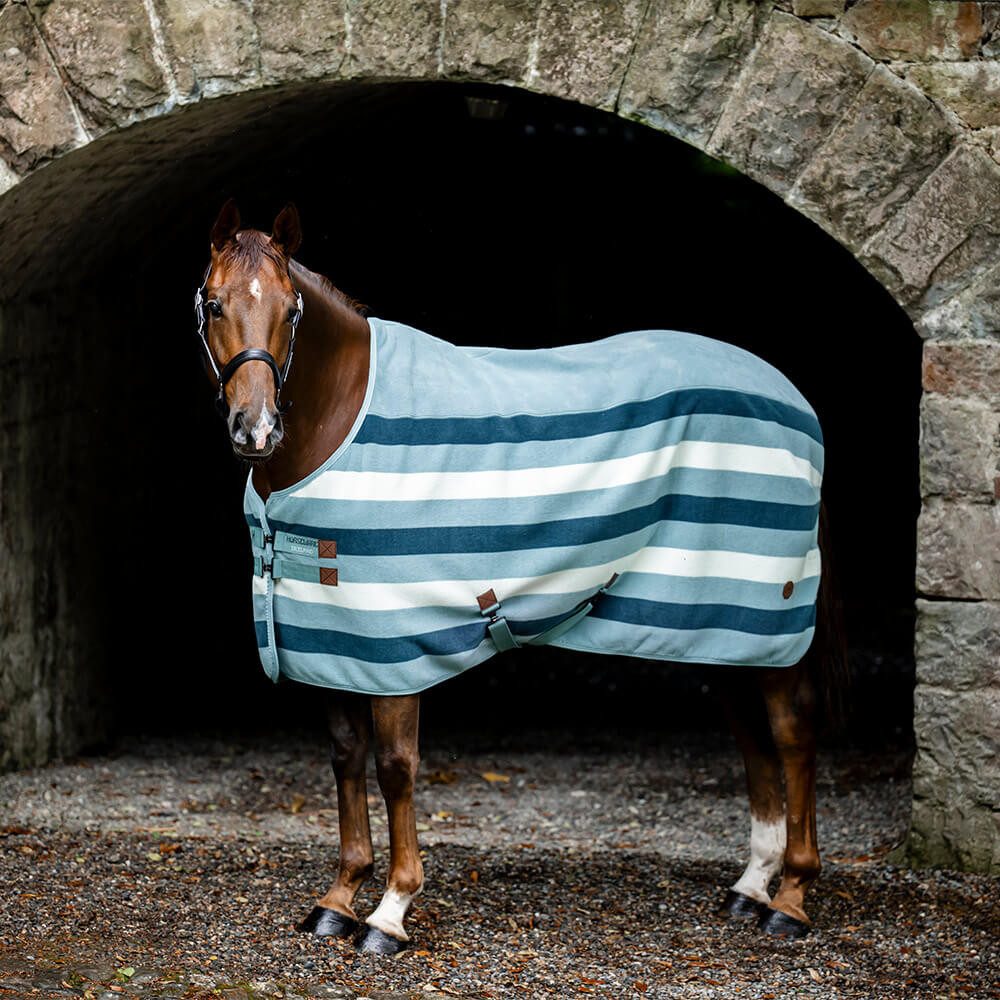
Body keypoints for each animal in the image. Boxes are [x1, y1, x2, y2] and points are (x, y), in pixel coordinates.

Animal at [195, 200, 844, 955]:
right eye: (214, 303)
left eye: (291, 309)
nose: (256, 429)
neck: (339, 424)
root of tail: (793, 399)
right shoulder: (327, 640)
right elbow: (347, 758)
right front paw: (339, 896)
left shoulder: (393, 648)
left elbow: (395, 769)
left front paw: (390, 911)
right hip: (716, 626)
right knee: (751, 734)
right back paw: (751, 885)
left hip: (771, 623)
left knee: (792, 734)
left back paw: (791, 897)